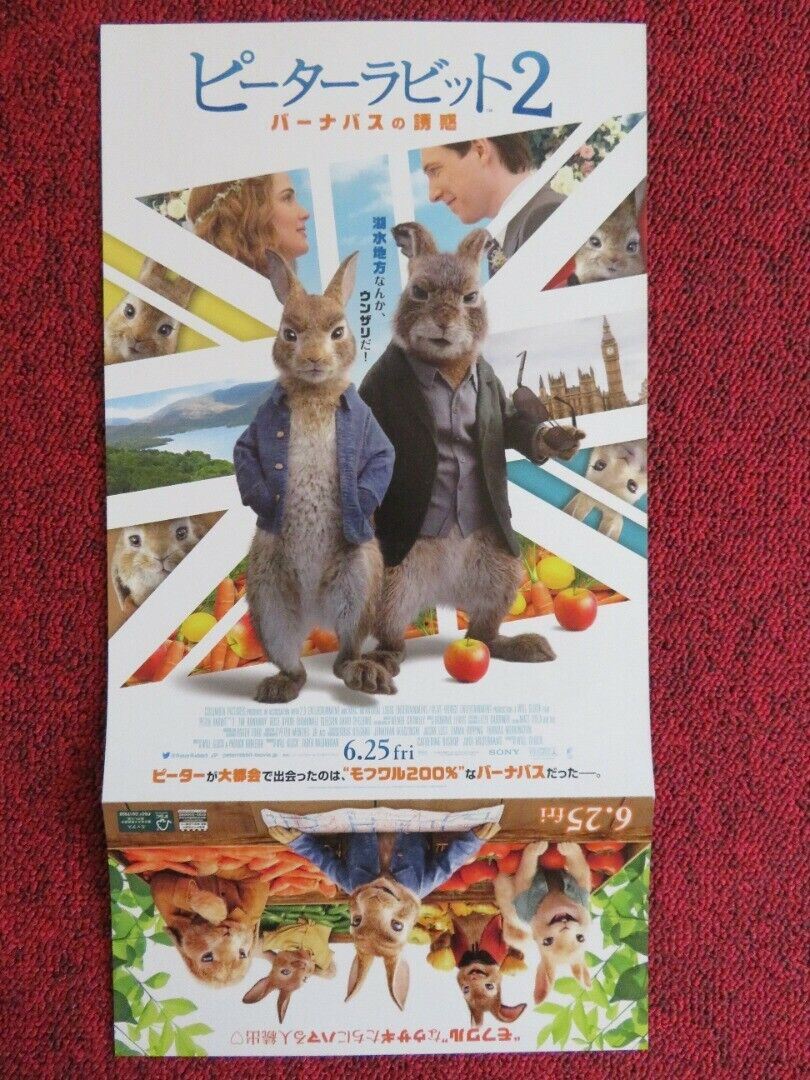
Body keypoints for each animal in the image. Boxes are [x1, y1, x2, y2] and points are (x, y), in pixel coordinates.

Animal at [233, 252, 396, 704]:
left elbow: (381, 458)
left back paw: (364, 675)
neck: (313, 391)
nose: (313, 360)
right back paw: (278, 687)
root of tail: (314, 614)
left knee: (343, 655)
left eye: (338, 331)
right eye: (288, 333)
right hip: (268, 601)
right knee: (295, 664)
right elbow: (245, 454)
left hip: (358, 582)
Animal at [267, 823, 499, 1010]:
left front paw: (485, 830)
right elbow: (325, 860)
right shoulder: (346, 876)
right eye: (356, 920)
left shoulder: (425, 879)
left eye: (397, 926)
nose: (376, 896)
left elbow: (448, 862)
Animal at [358, 221, 584, 677]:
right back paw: (379, 665)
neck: (447, 367)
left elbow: (513, 428)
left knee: (482, 631)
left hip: (502, 574)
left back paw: (522, 645)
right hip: (394, 584)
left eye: (471, 297)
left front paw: (560, 441)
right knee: (392, 633)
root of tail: (443, 592)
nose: (445, 322)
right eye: (419, 292)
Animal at [494, 842, 592, 1004]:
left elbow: (579, 867)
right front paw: (544, 847)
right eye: (547, 941)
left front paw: (564, 847)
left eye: (580, 938)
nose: (564, 923)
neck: (555, 897)